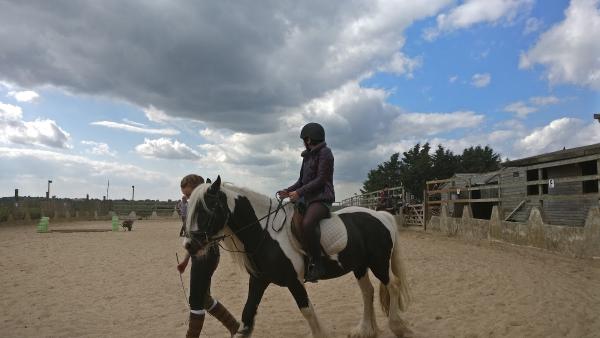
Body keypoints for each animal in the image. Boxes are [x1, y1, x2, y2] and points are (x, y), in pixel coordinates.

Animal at [183, 177, 412, 338]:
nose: (189, 246)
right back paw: (365, 330)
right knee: (368, 292)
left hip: (379, 264)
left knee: (392, 286)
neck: (266, 234)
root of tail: (380, 215)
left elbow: (307, 311)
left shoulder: (294, 281)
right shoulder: (258, 280)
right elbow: (247, 315)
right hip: (360, 266)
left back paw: (398, 327)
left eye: (206, 208)